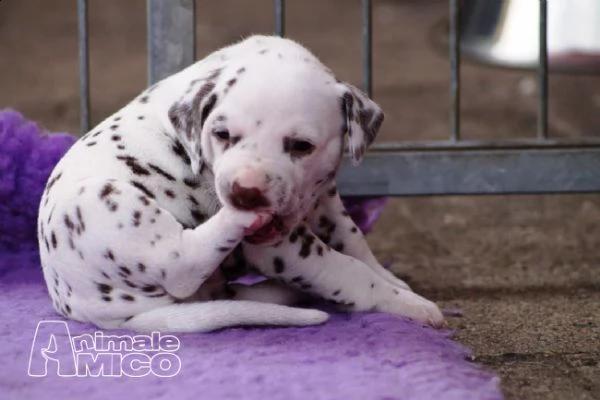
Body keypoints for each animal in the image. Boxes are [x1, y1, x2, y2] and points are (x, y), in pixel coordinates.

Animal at [36, 36, 440, 332]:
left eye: (301, 146)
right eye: (223, 134)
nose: (246, 192)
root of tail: (82, 307)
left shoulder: (325, 199)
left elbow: (355, 242)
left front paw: (392, 279)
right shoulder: (281, 248)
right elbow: (350, 271)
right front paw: (406, 302)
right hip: (103, 202)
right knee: (182, 263)